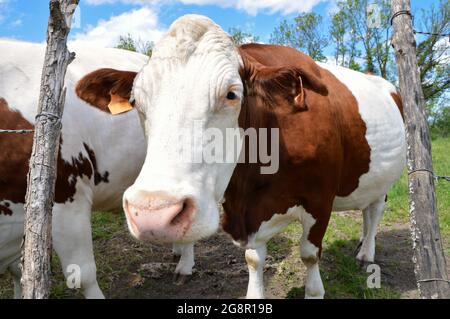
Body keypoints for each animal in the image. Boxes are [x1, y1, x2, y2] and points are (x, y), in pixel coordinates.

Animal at [77, 15, 408, 300]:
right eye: (135, 100)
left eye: (232, 94)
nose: (152, 213)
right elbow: (253, 258)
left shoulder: (320, 199)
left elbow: (310, 254)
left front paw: (314, 291)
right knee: (367, 210)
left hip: (388, 177)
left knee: (375, 210)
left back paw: (367, 252)